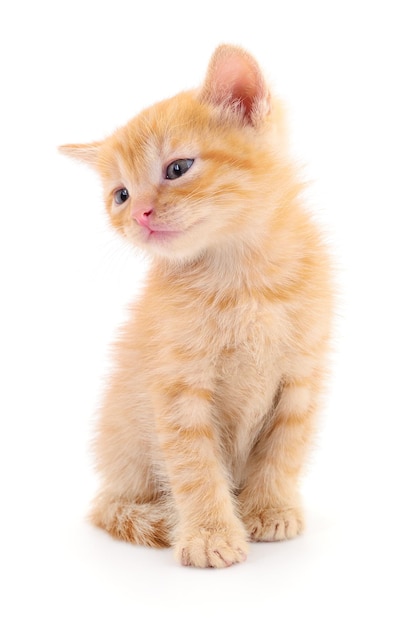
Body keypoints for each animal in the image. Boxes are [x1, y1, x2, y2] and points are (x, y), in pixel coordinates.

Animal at [60, 44, 334, 564]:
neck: (244, 281)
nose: (140, 214)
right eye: (121, 195)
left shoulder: (301, 377)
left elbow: (284, 448)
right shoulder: (177, 389)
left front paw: (269, 509)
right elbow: (195, 467)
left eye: (177, 168)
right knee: (111, 509)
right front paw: (210, 534)